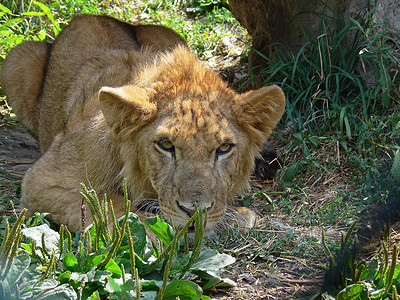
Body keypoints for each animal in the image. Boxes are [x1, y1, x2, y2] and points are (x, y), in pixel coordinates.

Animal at [0, 15, 284, 233]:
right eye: (166, 145)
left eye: (224, 148)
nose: (194, 212)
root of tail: (96, 16)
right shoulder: (40, 181)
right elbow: (106, 204)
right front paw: (151, 231)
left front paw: (236, 215)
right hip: (17, 57)